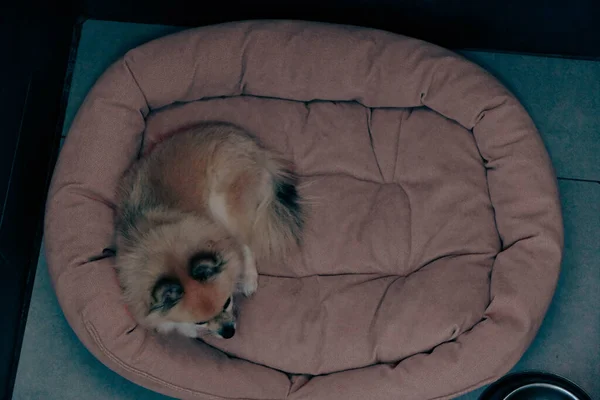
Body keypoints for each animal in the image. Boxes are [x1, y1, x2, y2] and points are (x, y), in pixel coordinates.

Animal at [112, 121, 302, 338]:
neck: (167, 251)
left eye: (227, 303)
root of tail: (254, 147)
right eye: (201, 322)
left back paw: (249, 280)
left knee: (246, 243)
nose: (228, 333)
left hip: (223, 205)